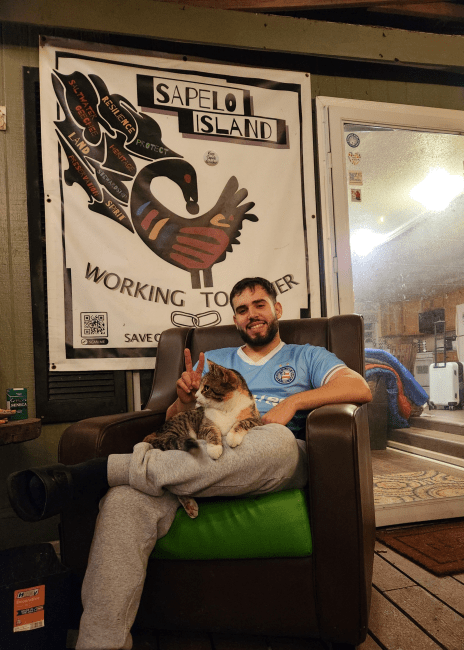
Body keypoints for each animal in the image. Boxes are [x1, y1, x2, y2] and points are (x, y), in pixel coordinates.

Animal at [143, 360, 260, 516]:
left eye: (206, 388)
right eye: (198, 387)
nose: (196, 396)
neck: (225, 409)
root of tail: (157, 432)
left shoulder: (257, 420)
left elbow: (243, 422)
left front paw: (232, 437)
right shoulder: (204, 427)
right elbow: (212, 431)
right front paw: (215, 448)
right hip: (177, 432)